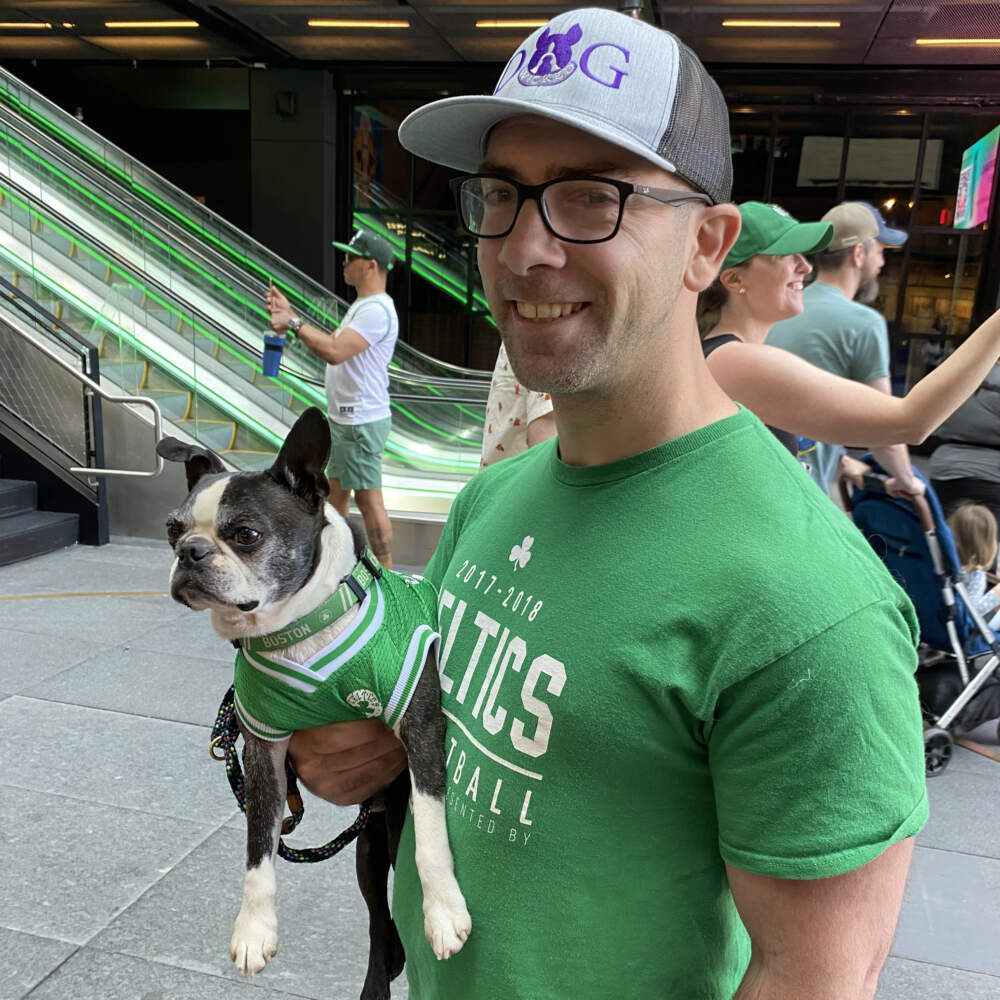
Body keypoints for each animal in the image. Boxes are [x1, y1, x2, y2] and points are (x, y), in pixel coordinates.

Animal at [154, 406, 470, 1000]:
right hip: (369, 850)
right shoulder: (263, 753)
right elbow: (258, 845)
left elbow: (432, 831)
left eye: (246, 534)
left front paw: (442, 911)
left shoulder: (421, 732)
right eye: (171, 530)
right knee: (378, 922)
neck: (298, 628)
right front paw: (253, 930)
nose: (190, 552)